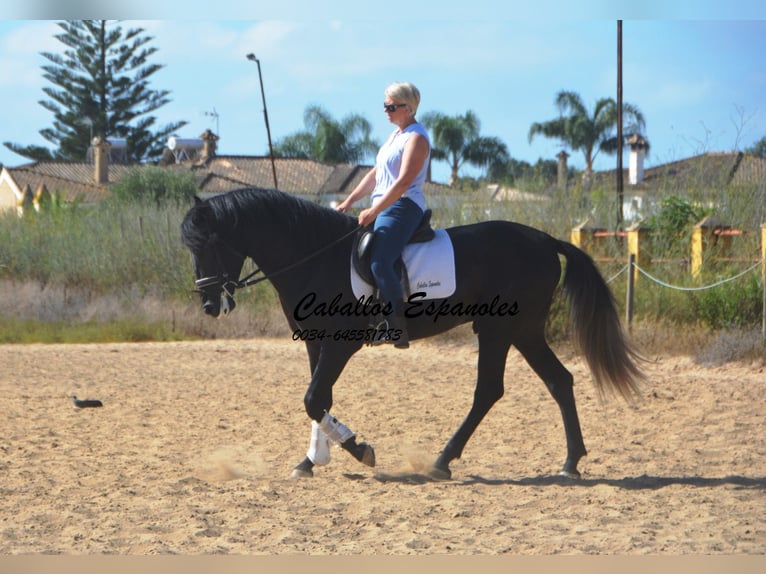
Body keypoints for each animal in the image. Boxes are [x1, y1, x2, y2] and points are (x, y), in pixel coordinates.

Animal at [183, 188, 644, 482]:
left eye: (210, 243)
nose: (209, 305)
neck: (315, 256)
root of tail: (545, 240)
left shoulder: (340, 345)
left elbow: (314, 398)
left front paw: (358, 450)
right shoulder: (315, 342)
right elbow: (318, 401)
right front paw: (310, 461)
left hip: (502, 328)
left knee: (491, 390)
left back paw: (444, 461)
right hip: (521, 331)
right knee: (555, 381)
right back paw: (570, 462)